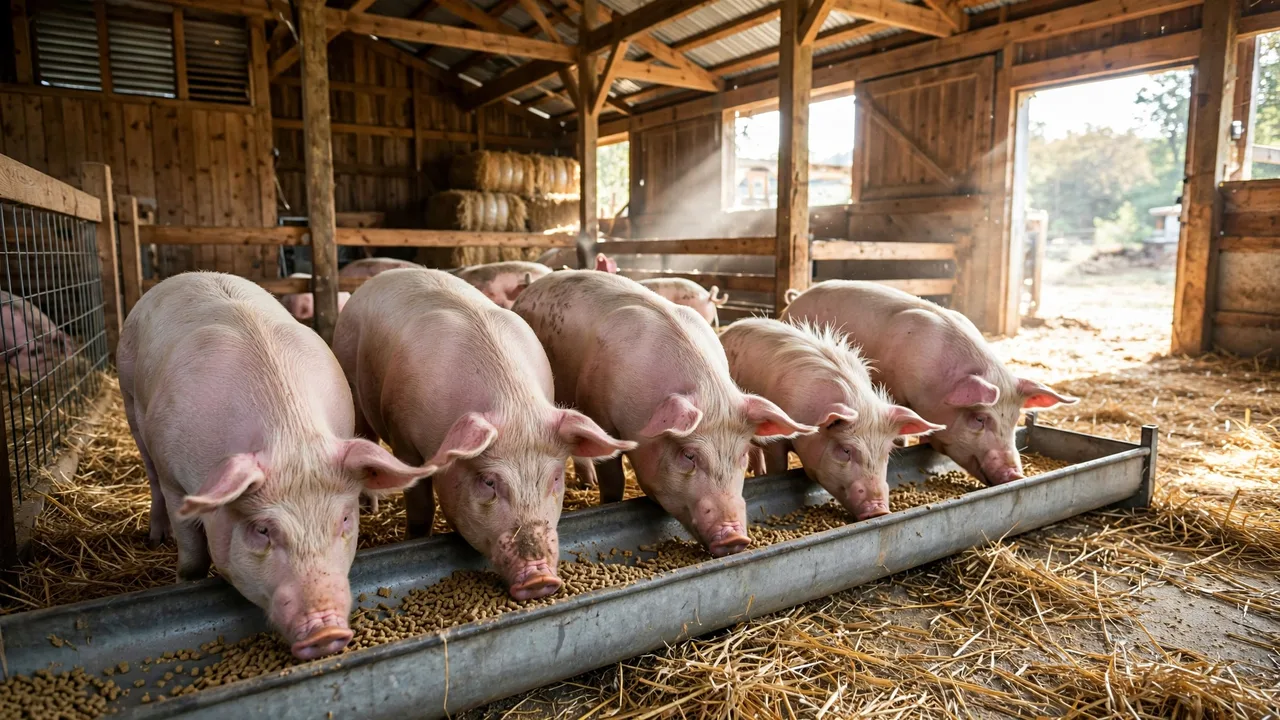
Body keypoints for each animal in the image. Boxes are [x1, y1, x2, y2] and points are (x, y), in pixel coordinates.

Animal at [118, 272, 435, 660]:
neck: (290, 438)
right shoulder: (175, 481)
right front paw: (184, 582)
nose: (327, 631)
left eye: (345, 519)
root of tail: (190, 274)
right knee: (149, 474)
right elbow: (192, 557)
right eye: (262, 530)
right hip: (130, 398)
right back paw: (156, 538)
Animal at [332, 268, 633, 600]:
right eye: (489, 482)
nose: (539, 579)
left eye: (555, 478)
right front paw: (414, 538)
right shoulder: (403, 441)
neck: (514, 404)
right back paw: (369, 507)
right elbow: (420, 504)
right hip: (353, 386)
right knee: (365, 439)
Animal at [512, 271, 814, 557]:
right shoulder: (597, 411)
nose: (735, 538)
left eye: (741, 455)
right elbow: (613, 479)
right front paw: (609, 502)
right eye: (689, 455)